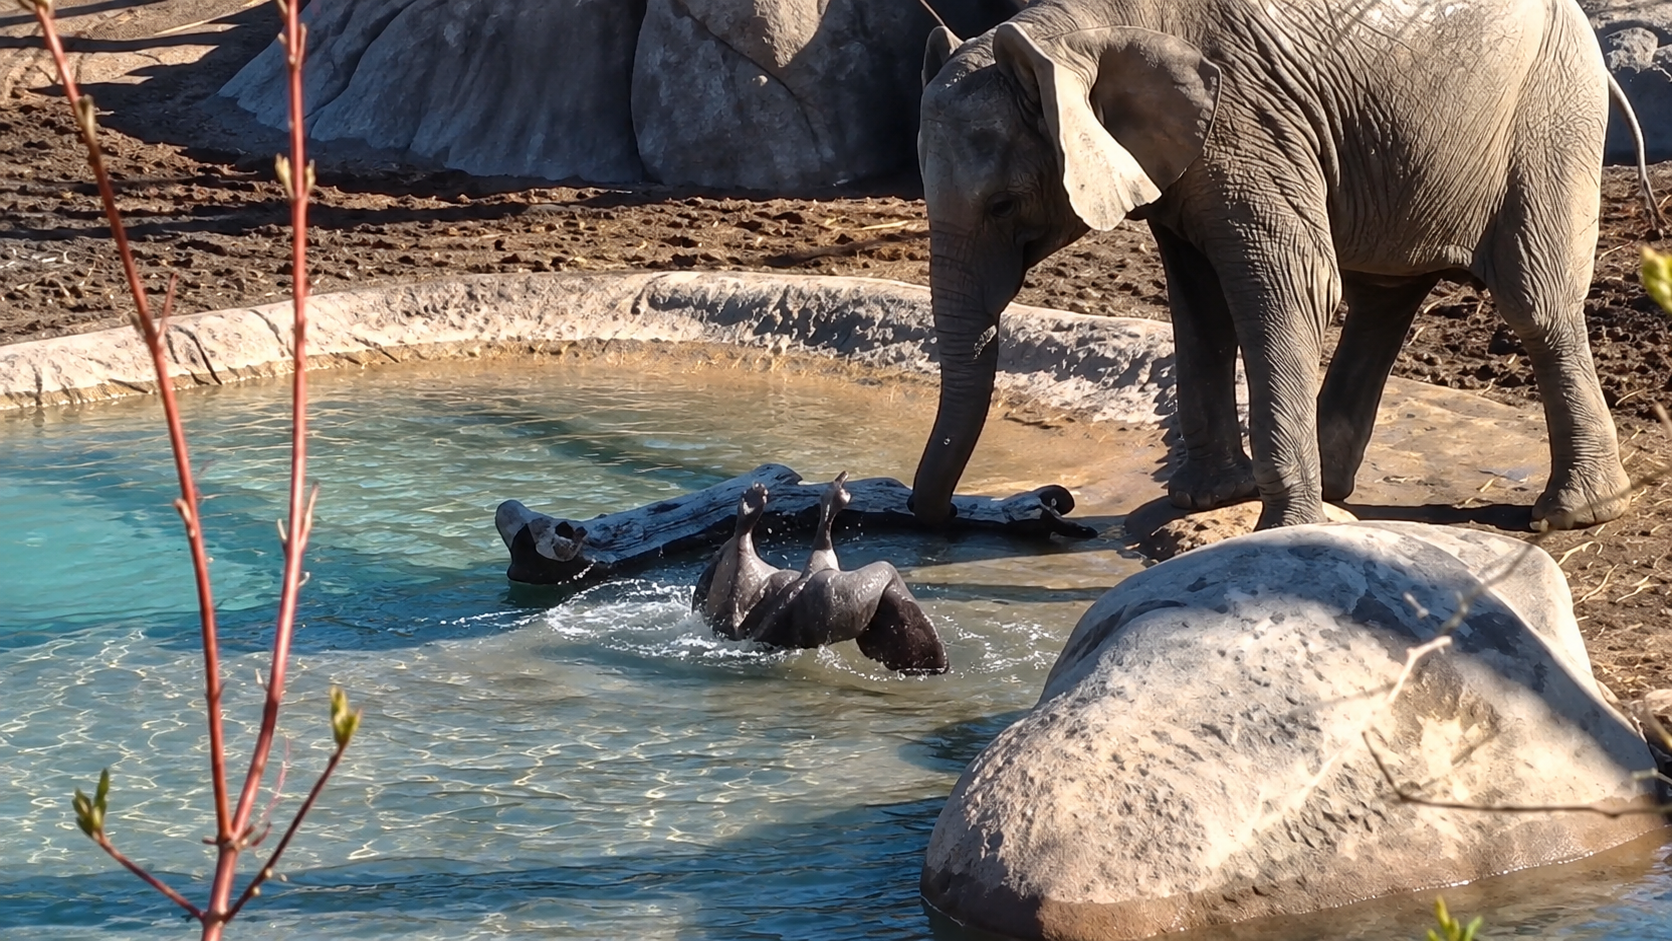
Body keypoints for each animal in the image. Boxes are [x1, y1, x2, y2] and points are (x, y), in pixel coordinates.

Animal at [908, 0, 1648, 532]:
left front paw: (1286, 529)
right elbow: (1199, 302)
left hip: (1551, 115)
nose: (1053, 501)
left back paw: (1576, 513)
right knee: (1386, 294)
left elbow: (1289, 286)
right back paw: (1338, 489)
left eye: (1003, 204)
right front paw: (1210, 499)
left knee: (1534, 301)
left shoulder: (1249, 122)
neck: (1075, 28)